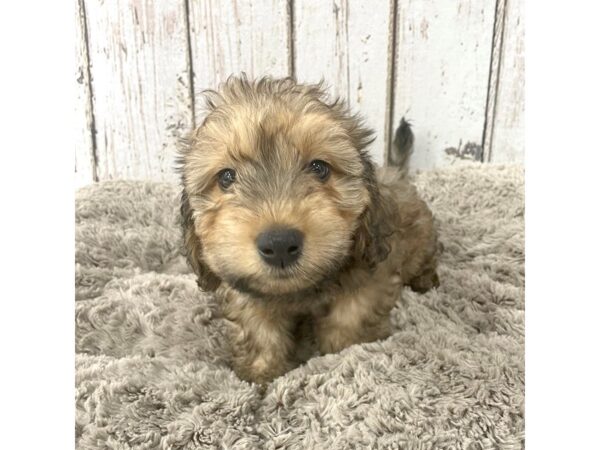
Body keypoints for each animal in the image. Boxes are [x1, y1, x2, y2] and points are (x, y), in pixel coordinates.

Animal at [176, 74, 438, 384]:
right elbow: (259, 330)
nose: (279, 244)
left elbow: (349, 319)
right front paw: (261, 371)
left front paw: (346, 354)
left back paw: (426, 279)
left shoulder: (368, 274)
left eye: (319, 168)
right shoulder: (245, 291)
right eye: (226, 177)